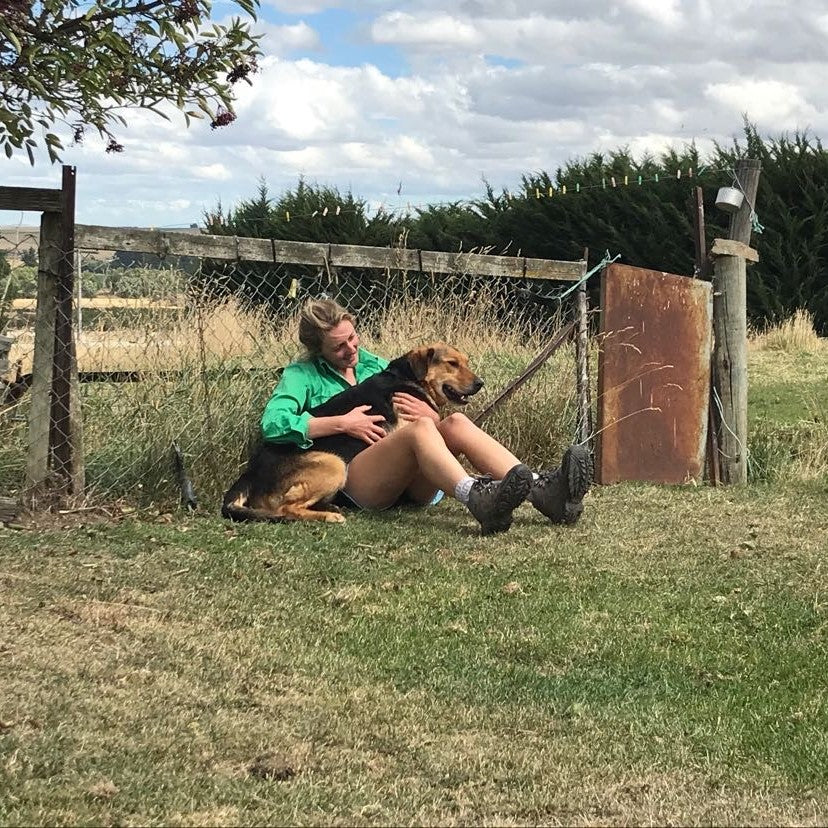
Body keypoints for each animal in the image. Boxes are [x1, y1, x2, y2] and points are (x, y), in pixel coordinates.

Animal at [222, 342, 486, 524]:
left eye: (466, 362)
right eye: (452, 364)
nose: (480, 383)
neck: (409, 378)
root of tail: (250, 473)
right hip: (334, 464)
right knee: (285, 509)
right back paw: (328, 516)